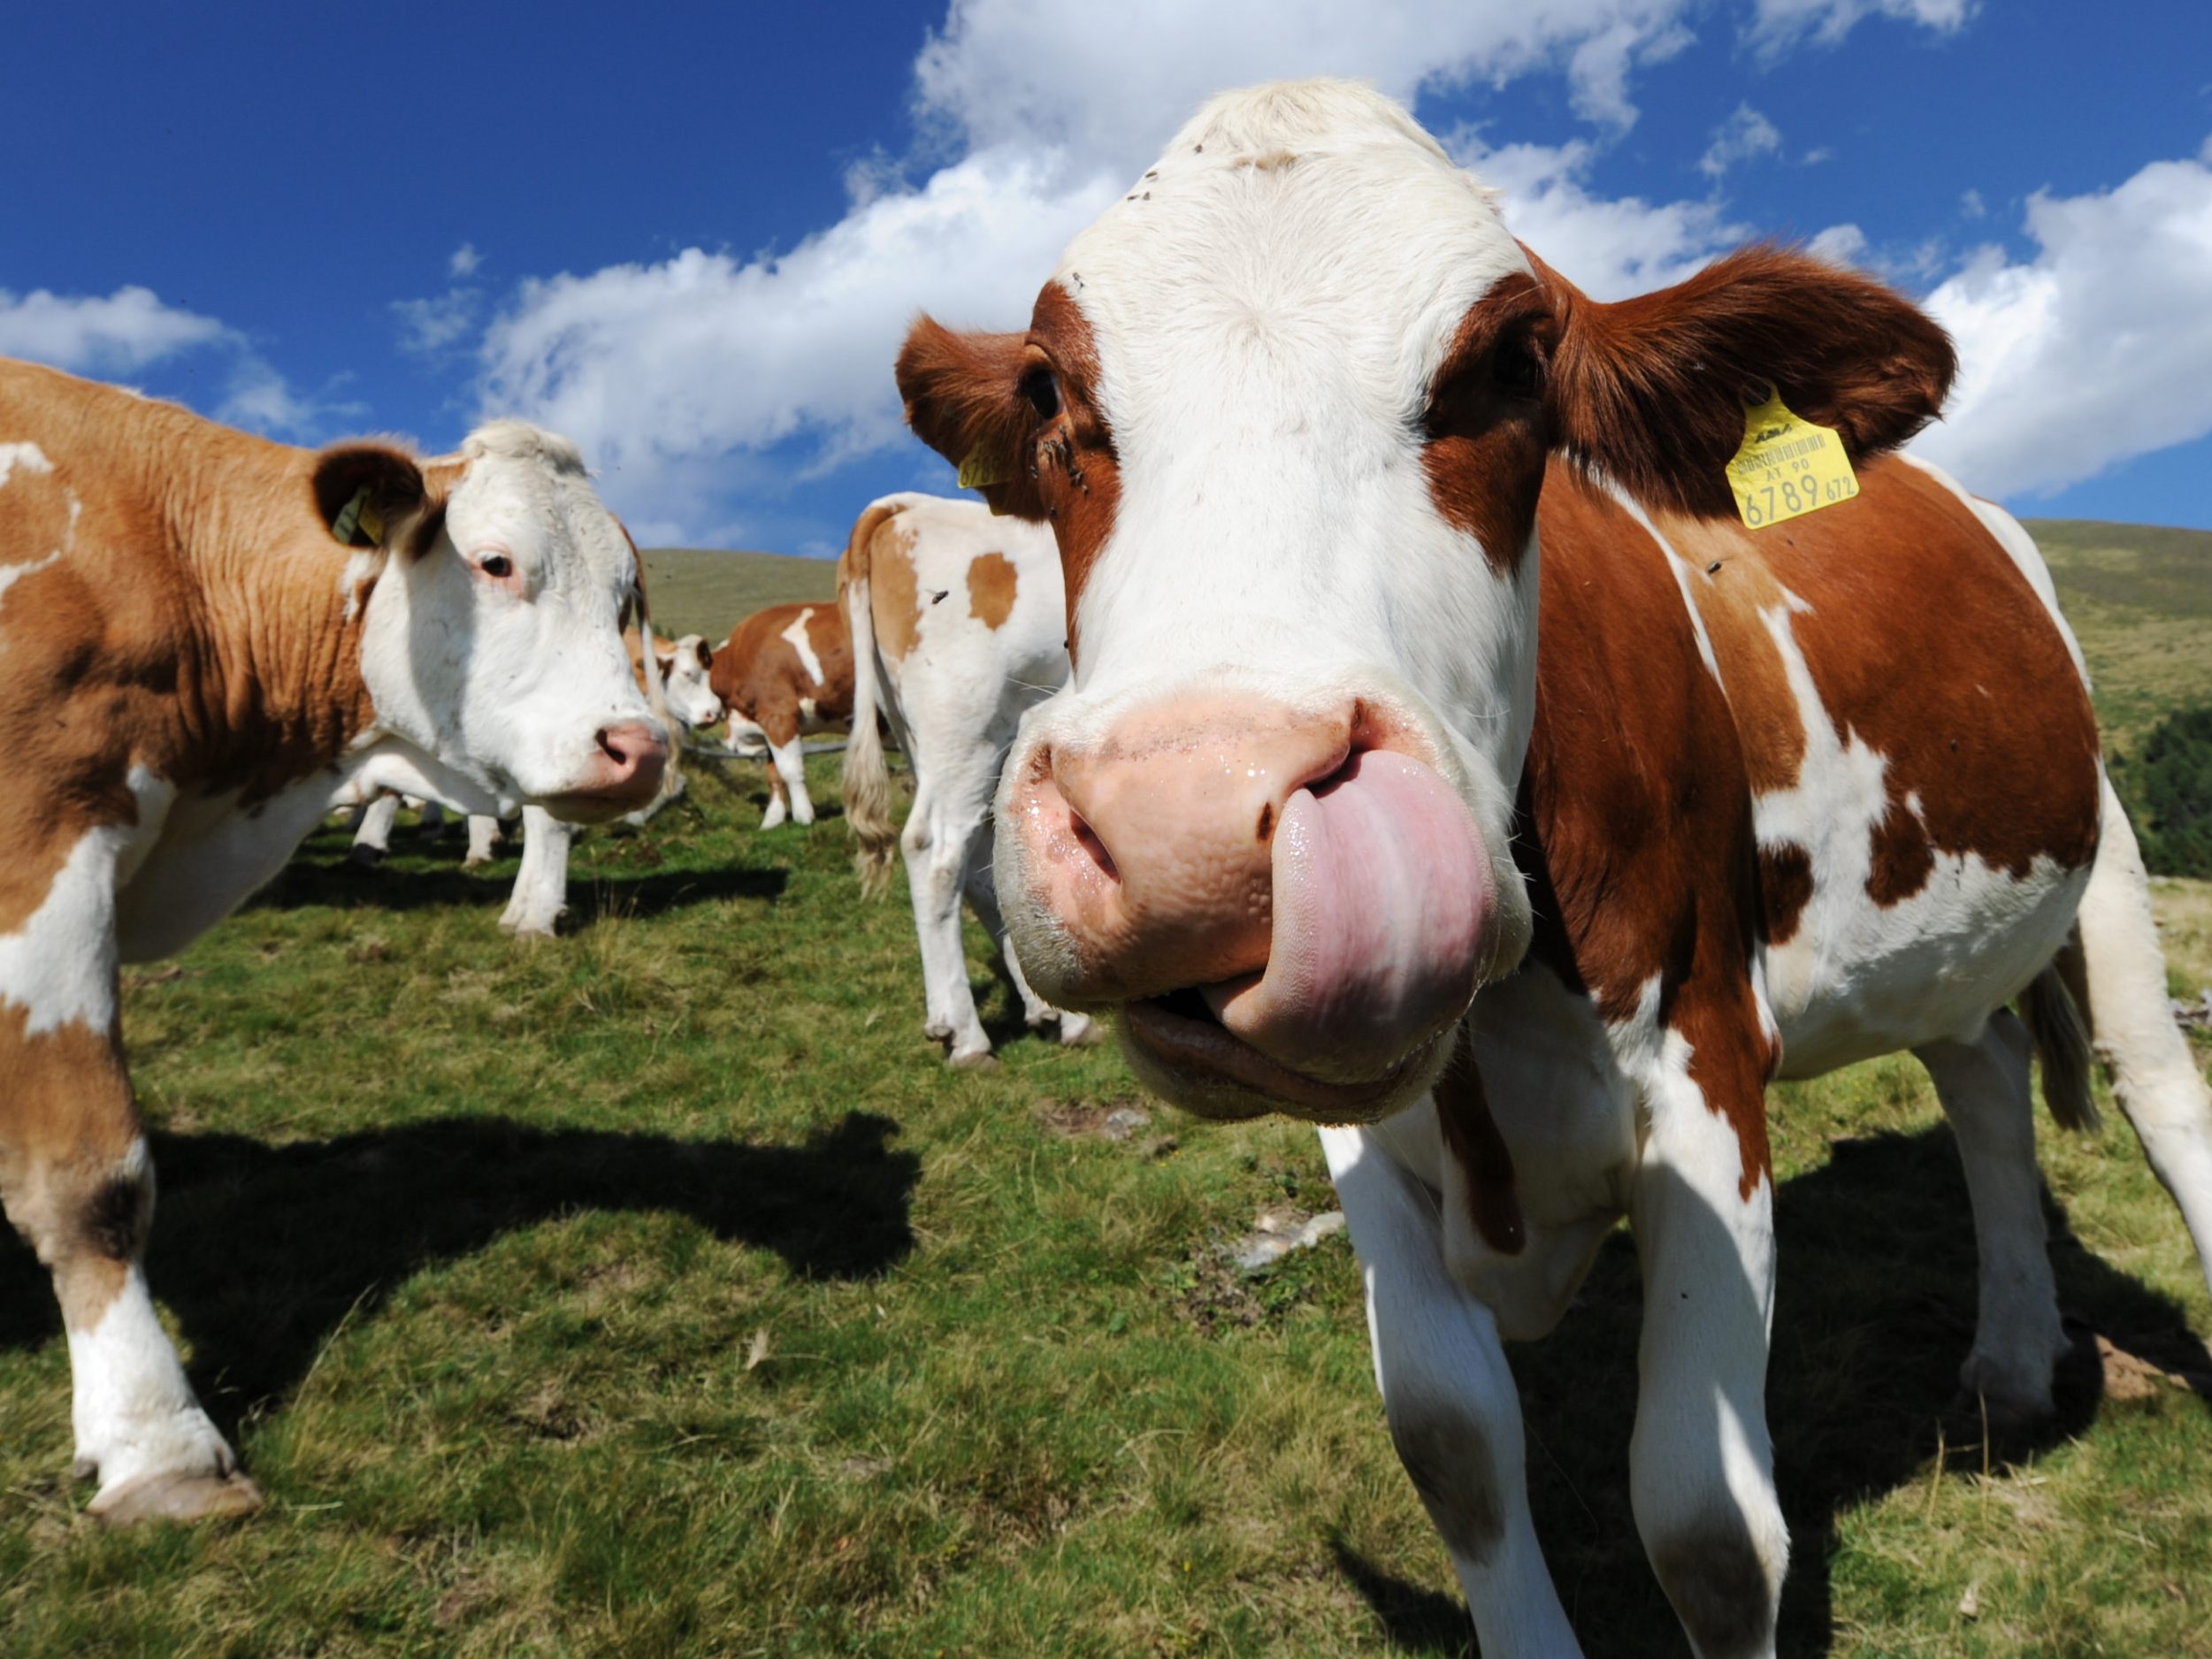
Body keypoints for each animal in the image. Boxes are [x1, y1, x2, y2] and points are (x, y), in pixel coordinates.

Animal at [2, 358, 672, 1530]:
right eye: (495, 561)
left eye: (624, 595)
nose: (639, 747)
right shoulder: (43, 842)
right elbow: (90, 1172)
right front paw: (155, 1443)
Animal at [708, 601, 853, 827]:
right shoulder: (767, 725)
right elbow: (774, 774)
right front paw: (772, 820)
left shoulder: (779, 714)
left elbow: (790, 770)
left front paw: (803, 817)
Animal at [893, 80, 2212, 1659]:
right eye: (1047, 394)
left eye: (1513, 362)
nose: (1189, 830)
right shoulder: (1365, 1142)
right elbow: (1453, 1448)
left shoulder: (1708, 1070)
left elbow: (1710, 1531)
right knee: (1984, 1078)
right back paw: (2010, 1364)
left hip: (2107, 856)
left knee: (2159, 1096)